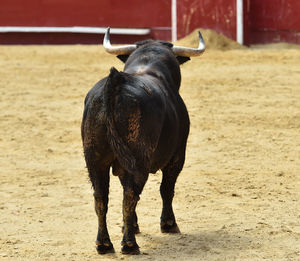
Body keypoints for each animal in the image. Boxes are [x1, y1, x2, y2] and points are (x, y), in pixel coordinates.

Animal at [81, 28, 205, 254]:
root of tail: (116, 83)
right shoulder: (177, 156)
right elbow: (166, 189)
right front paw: (169, 224)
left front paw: (132, 225)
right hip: (139, 158)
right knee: (131, 195)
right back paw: (129, 244)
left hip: (95, 160)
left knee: (101, 197)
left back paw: (104, 244)